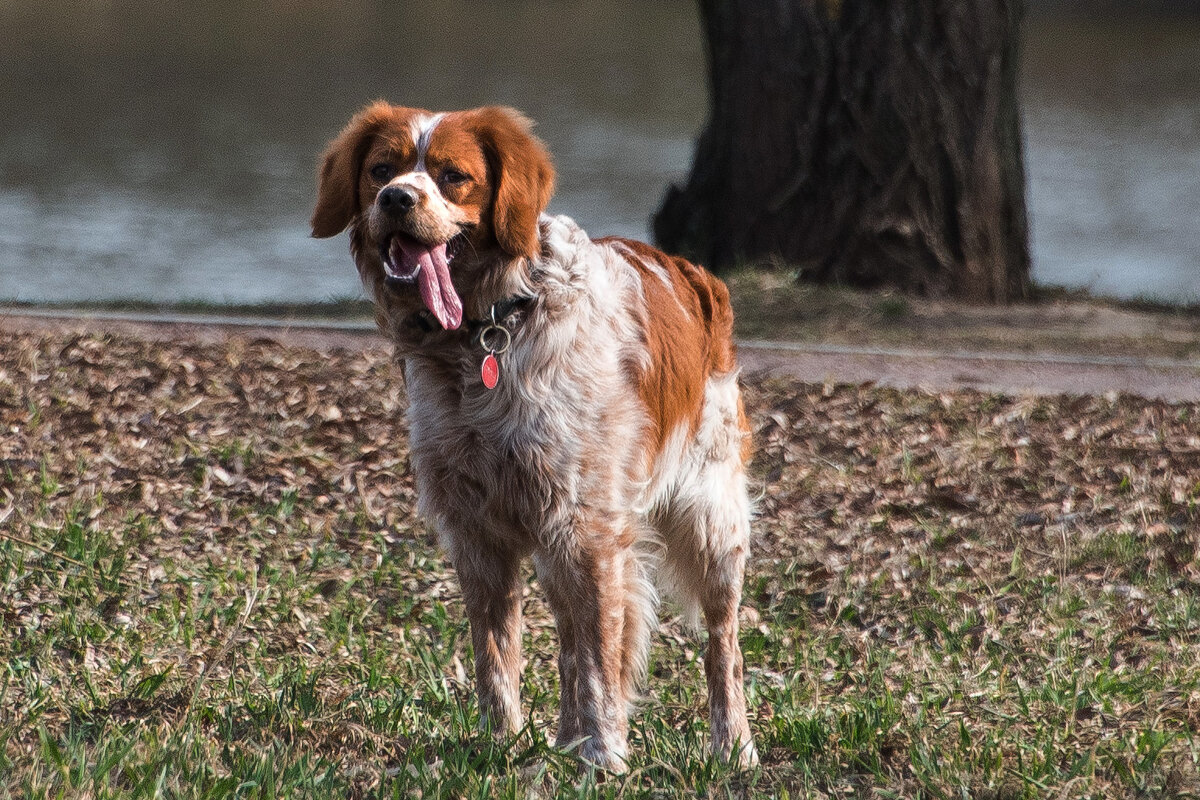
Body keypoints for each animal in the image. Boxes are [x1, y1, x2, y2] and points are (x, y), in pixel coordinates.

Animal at [314, 101, 753, 767]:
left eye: (453, 177)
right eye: (380, 170)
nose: (395, 198)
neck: (485, 331)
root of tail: (692, 274)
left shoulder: (585, 525)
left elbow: (600, 659)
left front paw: (605, 756)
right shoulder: (478, 529)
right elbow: (500, 657)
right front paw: (501, 744)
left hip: (710, 522)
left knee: (720, 644)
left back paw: (733, 746)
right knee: (572, 640)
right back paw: (567, 738)